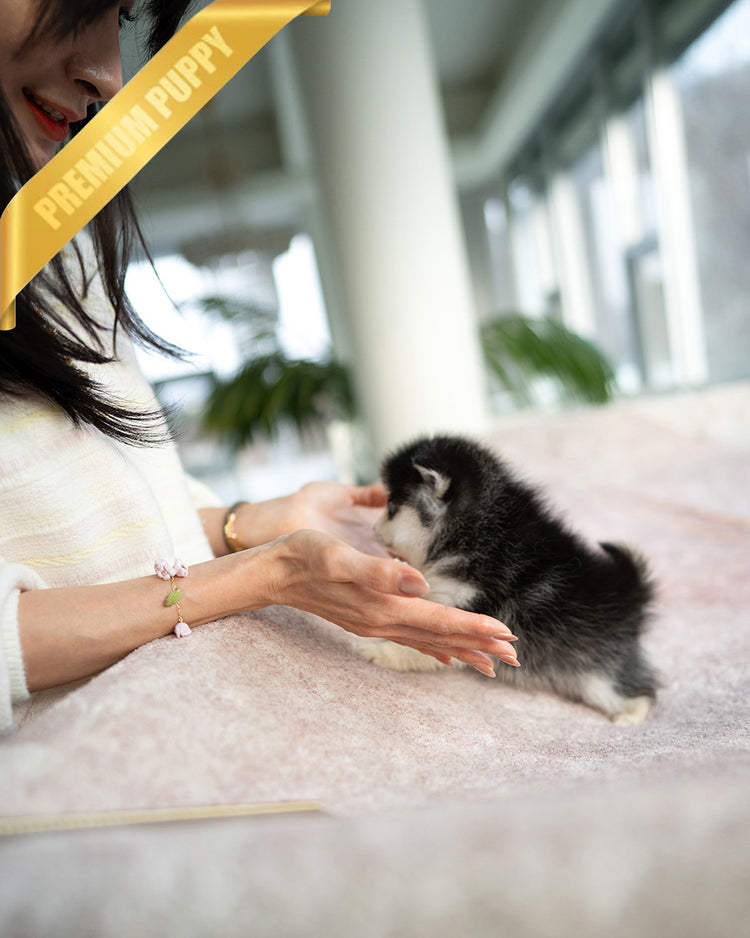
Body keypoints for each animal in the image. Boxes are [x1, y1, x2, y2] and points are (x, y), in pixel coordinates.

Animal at [359, 434, 658, 725]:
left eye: (391, 506)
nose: (372, 529)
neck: (476, 533)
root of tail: (632, 593)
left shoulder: (474, 611)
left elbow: (421, 646)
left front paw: (376, 651)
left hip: (599, 675)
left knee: (641, 692)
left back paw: (629, 717)